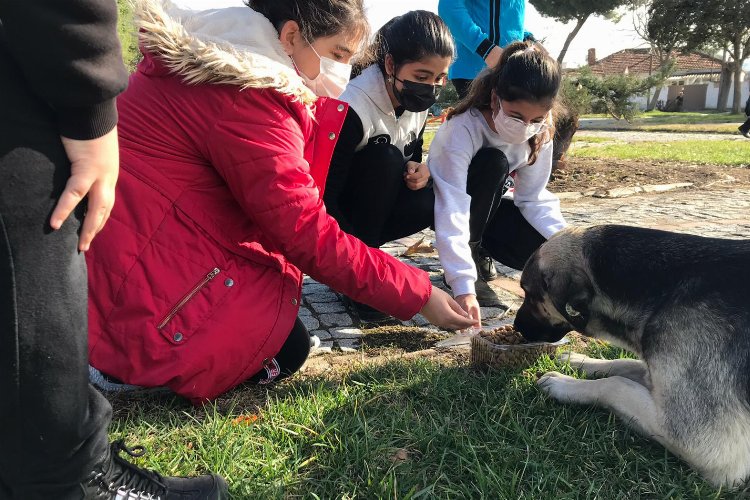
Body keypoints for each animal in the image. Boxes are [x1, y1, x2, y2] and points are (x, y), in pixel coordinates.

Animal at [516, 225, 750, 486]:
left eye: (528, 293)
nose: (515, 327)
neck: (662, 287)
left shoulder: (708, 445)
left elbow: (616, 384)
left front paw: (563, 384)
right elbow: (623, 363)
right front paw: (579, 361)